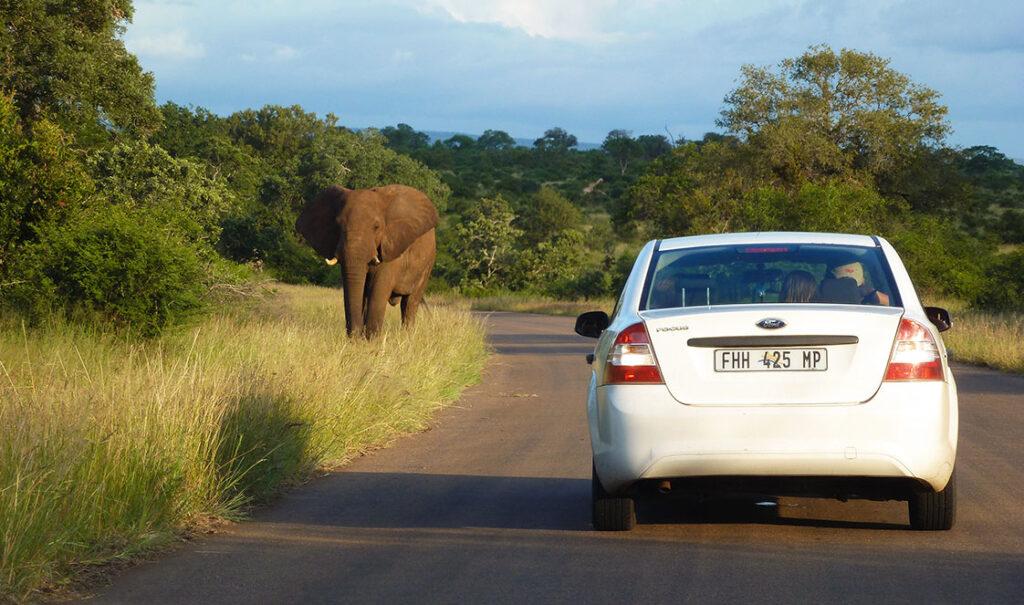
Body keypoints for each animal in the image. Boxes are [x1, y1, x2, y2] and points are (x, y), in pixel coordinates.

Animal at [295, 184, 438, 337]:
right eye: (338, 225)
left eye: (376, 227)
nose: (354, 336)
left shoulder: (391, 247)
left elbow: (379, 289)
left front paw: (371, 340)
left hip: (427, 265)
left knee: (410, 303)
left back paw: (407, 337)